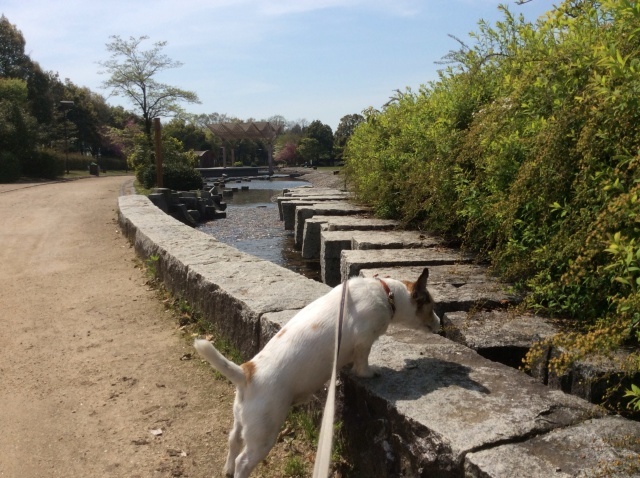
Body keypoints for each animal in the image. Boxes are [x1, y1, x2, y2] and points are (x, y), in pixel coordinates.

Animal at [194, 268, 440, 476]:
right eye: (431, 305)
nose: (439, 324)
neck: (387, 294)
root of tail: (246, 373)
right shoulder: (364, 341)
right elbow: (363, 364)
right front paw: (371, 372)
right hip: (263, 435)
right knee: (243, 462)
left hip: (240, 421)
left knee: (233, 441)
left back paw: (227, 469)